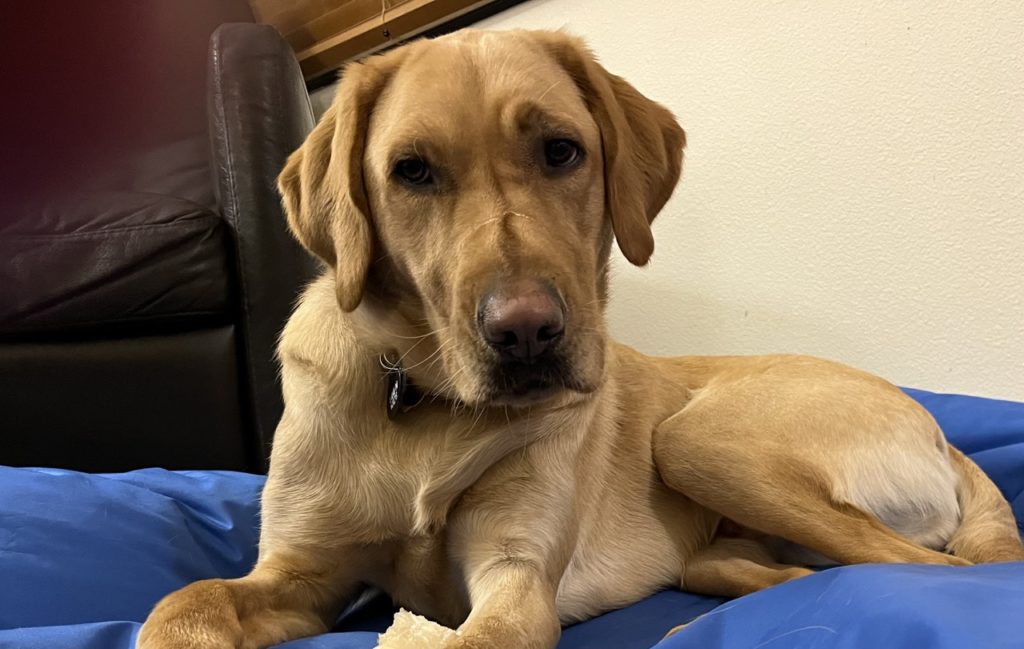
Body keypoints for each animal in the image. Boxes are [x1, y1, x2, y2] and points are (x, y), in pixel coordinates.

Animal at [138, 27, 1024, 642]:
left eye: (561, 150)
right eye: (412, 170)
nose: (527, 332)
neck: (420, 402)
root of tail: (941, 432)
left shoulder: (517, 577)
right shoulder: (301, 572)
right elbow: (185, 601)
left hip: (697, 437)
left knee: (923, 567)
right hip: (713, 522)